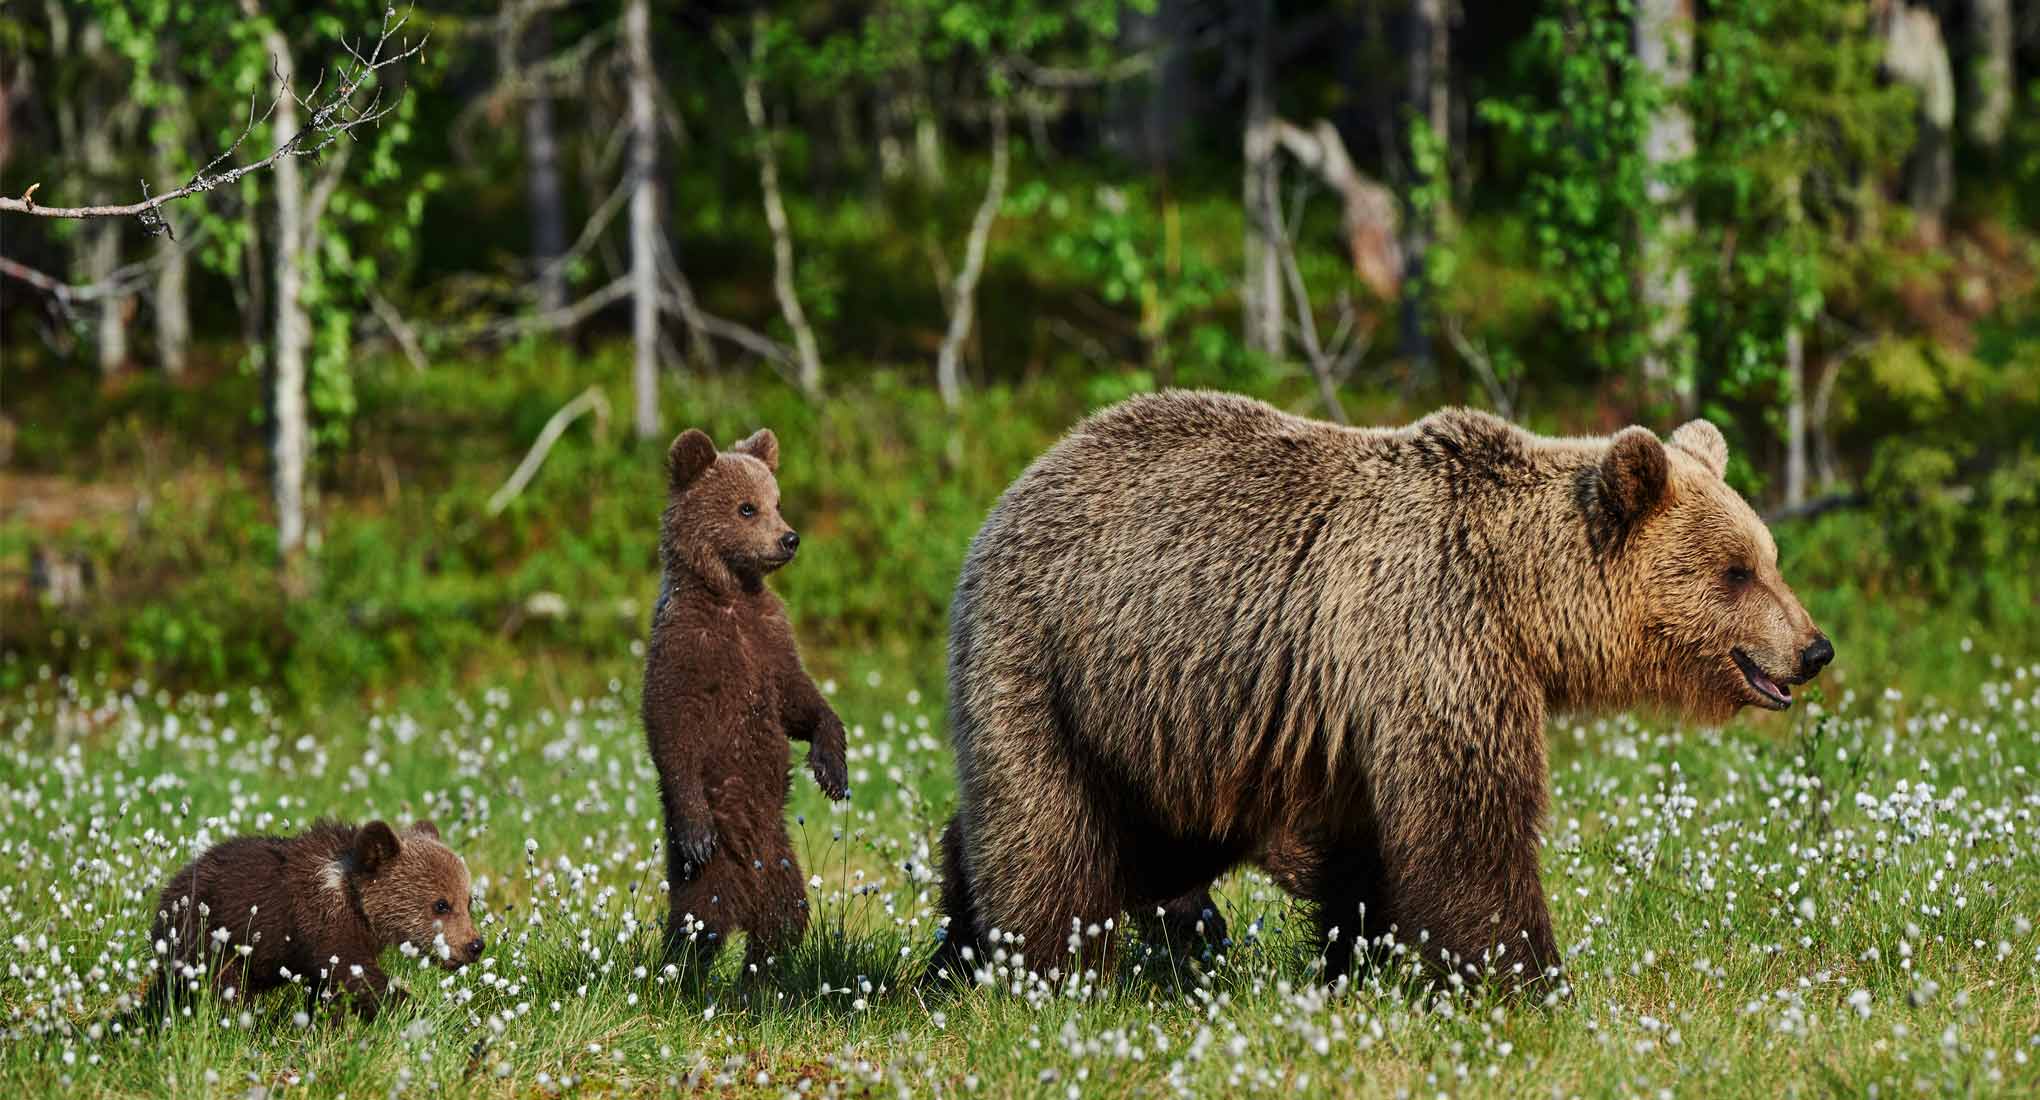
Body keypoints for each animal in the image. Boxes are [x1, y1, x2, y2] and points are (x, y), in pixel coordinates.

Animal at [136, 819, 481, 1022]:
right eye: (441, 904)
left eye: (468, 900)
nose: (475, 945)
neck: (353, 900)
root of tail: (168, 890)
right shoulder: (322, 924)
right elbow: (356, 976)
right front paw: (412, 1007)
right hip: (206, 936)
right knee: (221, 987)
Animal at [642, 427, 850, 976]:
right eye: (746, 508)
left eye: (777, 502)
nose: (789, 538)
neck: (730, 594)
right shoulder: (688, 648)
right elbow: (671, 724)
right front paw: (695, 825)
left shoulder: (769, 638)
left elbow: (799, 700)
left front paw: (832, 766)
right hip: (713, 867)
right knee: (698, 924)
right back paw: (683, 977)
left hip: (780, 860)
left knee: (785, 921)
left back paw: (755, 979)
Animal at [934, 390, 1833, 990]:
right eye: (1736, 571)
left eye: (1770, 556)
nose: (1813, 648)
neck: (1521, 598)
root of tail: (1022, 480)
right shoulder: (1433, 635)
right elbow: (1469, 824)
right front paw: (1529, 981)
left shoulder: (1355, 706)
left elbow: (1368, 848)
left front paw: (1363, 962)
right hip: (1051, 662)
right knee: (1050, 831)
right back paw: (1035, 970)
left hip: (1166, 726)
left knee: (1144, 842)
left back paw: (955, 947)